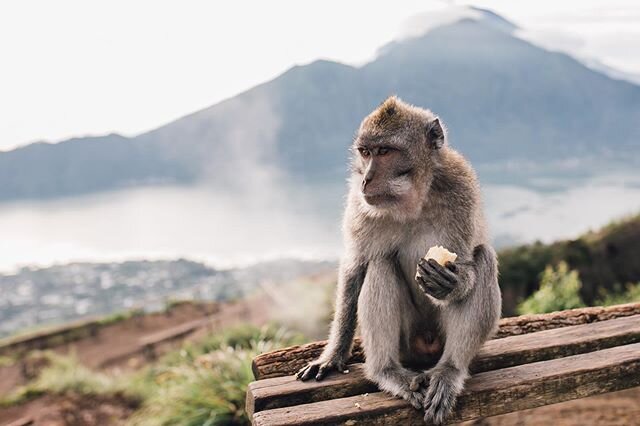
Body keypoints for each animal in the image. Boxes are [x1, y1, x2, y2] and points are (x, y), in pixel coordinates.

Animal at [298, 97, 502, 426]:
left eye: (385, 151)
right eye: (366, 152)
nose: (366, 178)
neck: (413, 200)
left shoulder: (462, 189)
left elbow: (466, 260)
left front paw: (452, 282)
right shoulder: (360, 205)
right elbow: (356, 268)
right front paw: (332, 357)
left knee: (484, 258)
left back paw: (449, 371)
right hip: (406, 344)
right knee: (380, 263)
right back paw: (388, 372)